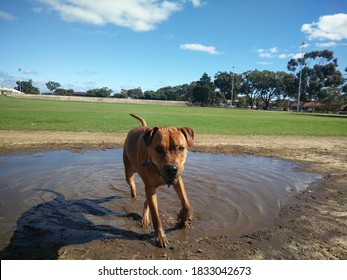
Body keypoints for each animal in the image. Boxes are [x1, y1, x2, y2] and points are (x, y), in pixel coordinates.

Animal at [123, 114, 194, 247]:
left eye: (181, 148)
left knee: (146, 201)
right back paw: (134, 197)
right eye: (159, 149)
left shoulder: (177, 180)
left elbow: (186, 203)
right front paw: (160, 237)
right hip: (128, 171)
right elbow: (156, 216)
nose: (172, 168)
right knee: (132, 185)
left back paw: (145, 217)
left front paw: (183, 217)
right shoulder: (150, 187)